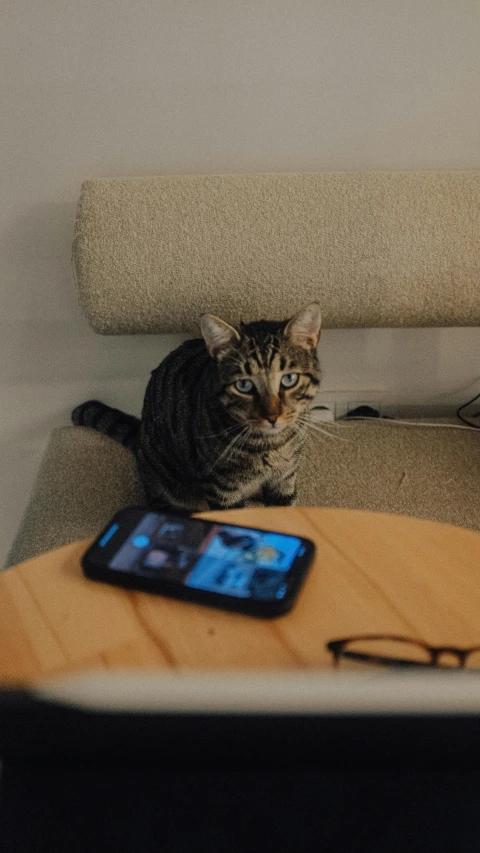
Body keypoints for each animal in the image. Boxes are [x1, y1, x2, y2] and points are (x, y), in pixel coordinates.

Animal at [71, 302, 320, 510]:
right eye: (244, 385)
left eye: (289, 379)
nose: (272, 416)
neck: (269, 445)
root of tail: (141, 438)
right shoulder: (221, 488)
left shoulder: (285, 480)